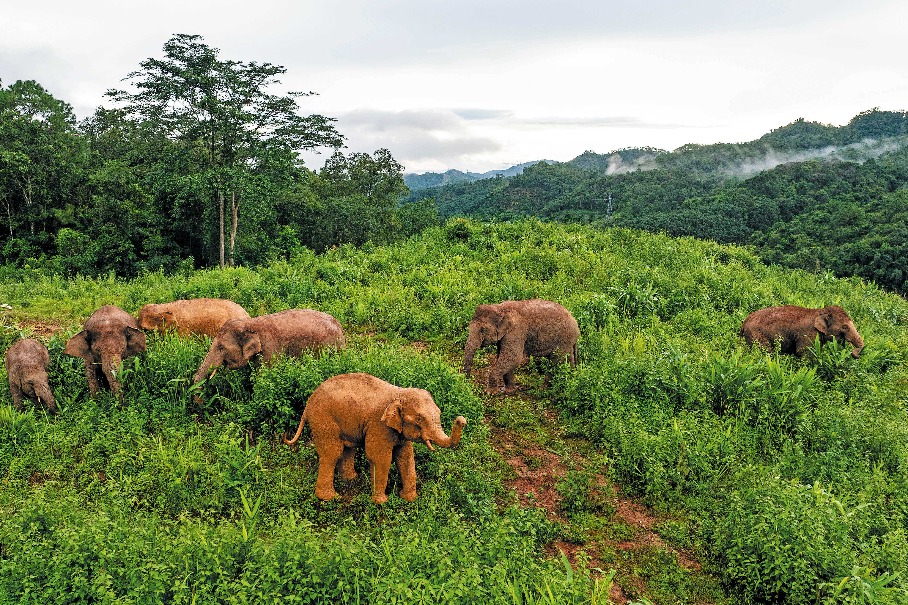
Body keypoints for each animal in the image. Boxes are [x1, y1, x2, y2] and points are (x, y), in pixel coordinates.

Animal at [284, 372, 468, 504]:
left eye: (439, 413)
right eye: (419, 419)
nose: (462, 420)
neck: (399, 393)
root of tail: (308, 403)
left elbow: (406, 457)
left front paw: (409, 499)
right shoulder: (379, 425)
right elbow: (381, 458)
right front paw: (381, 502)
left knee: (347, 449)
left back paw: (351, 479)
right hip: (323, 420)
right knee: (332, 453)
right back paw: (330, 498)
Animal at [736, 304, 864, 356]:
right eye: (844, 326)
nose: (855, 355)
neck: (819, 311)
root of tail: (744, 323)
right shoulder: (809, 334)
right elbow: (804, 353)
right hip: (756, 335)